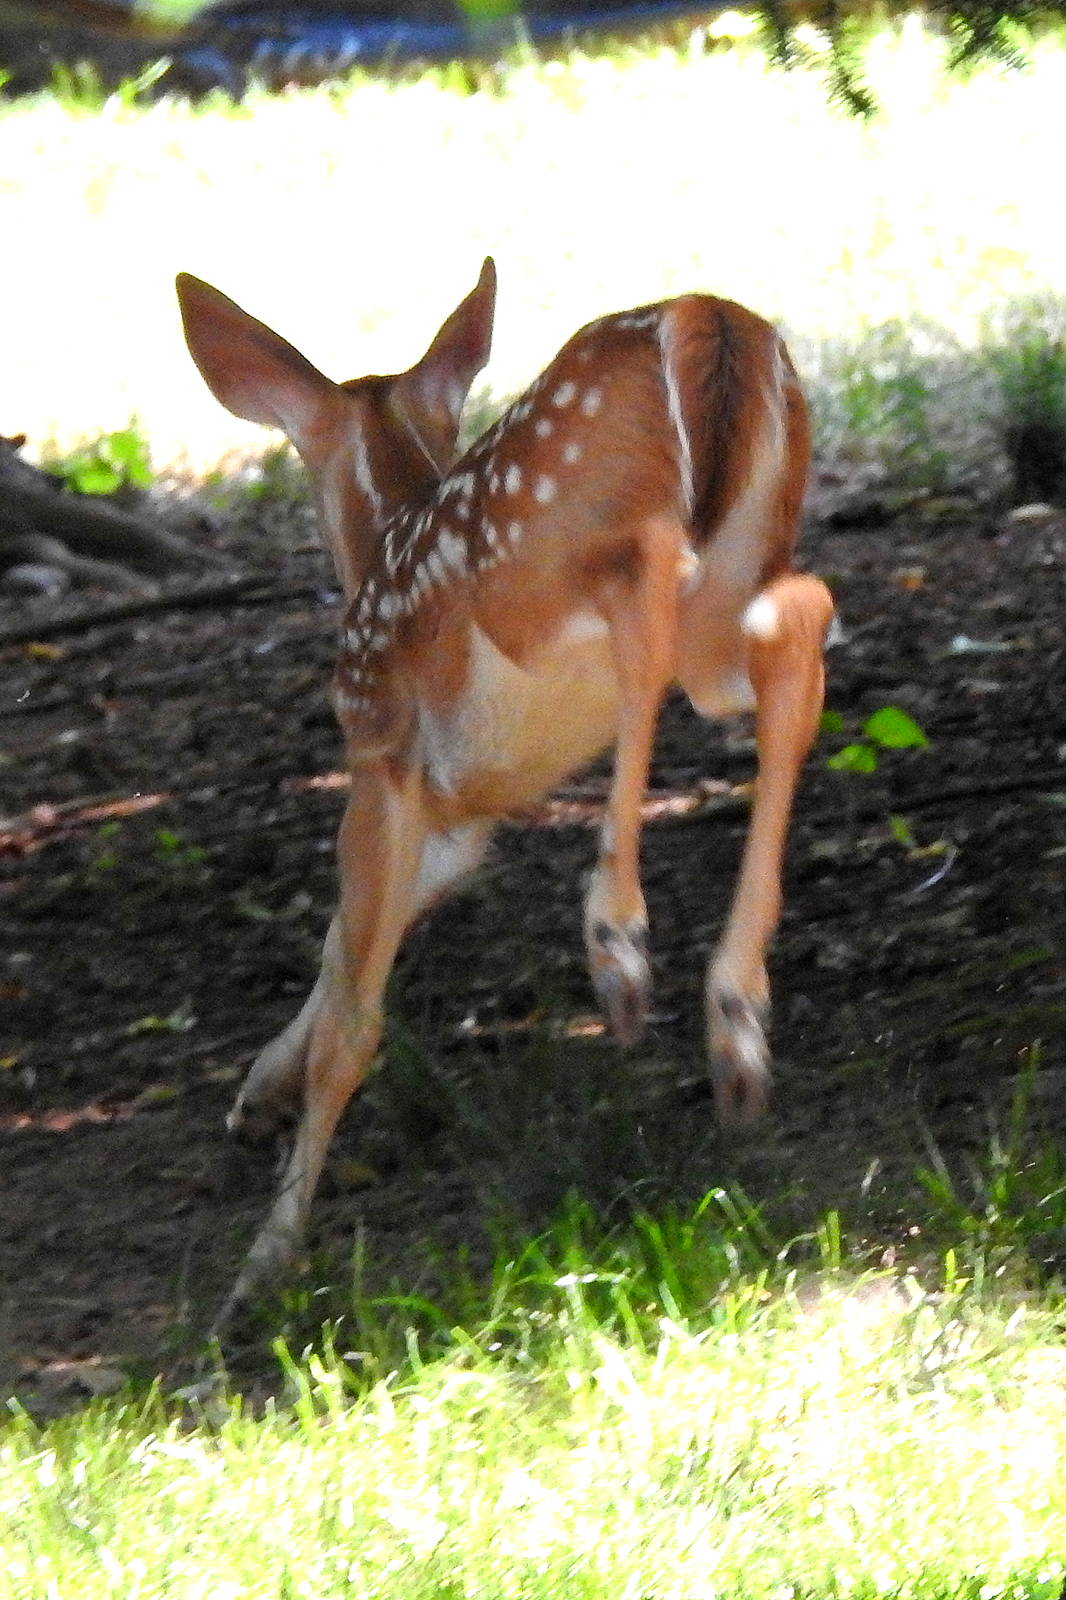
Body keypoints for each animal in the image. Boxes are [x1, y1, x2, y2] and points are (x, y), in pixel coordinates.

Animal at [176, 259, 835, 1322]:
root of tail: (712, 319)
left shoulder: (384, 753)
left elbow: (355, 1018)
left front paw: (263, 1266)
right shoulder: (461, 819)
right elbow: (341, 944)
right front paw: (256, 1097)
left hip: (547, 556)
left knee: (650, 587)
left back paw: (620, 945)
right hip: (739, 570)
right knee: (794, 629)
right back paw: (734, 1024)